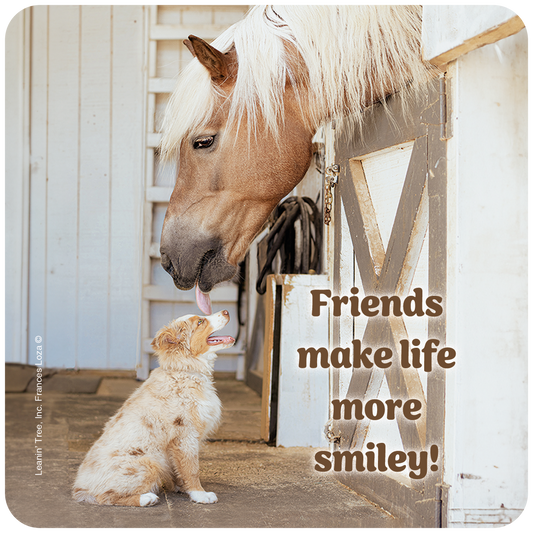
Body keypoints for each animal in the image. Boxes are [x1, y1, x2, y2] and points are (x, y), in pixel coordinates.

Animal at [71, 310, 234, 504]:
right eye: (200, 322)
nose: (226, 311)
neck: (184, 371)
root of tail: (81, 488)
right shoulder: (185, 435)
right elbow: (191, 469)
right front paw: (200, 494)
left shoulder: (177, 444)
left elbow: (179, 468)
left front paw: (182, 487)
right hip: (150, 463)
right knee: (106, 496)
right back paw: (146, 498)